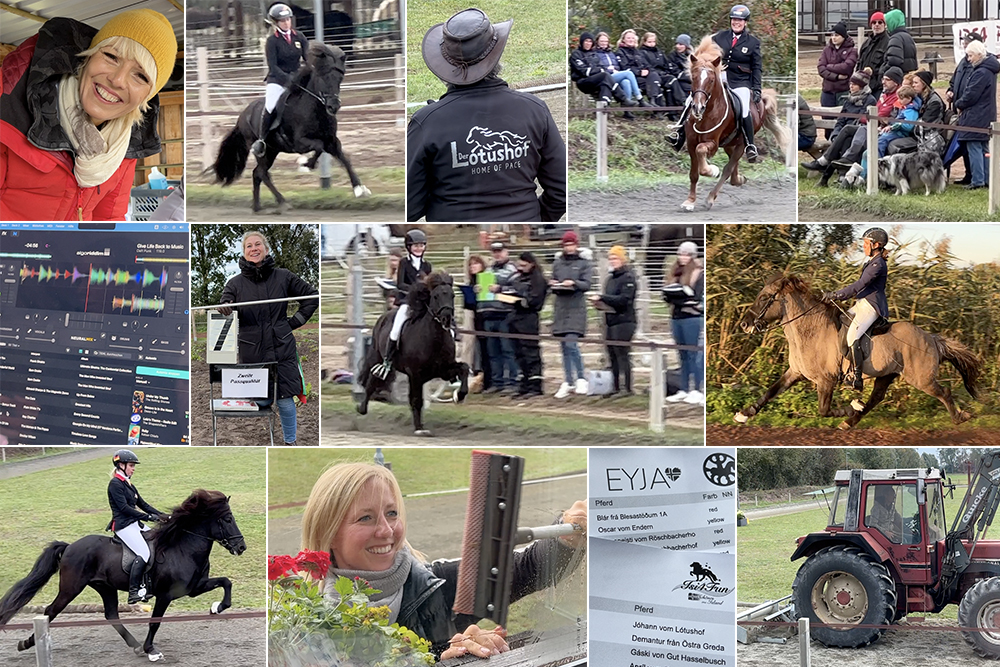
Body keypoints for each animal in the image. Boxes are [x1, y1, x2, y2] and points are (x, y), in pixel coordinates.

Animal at [0, 488, 247, 664]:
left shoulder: (194, 587)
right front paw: (152, 651)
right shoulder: (166, 595)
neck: (182, 547)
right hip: (70, 588)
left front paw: (217, 607)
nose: (241, 547)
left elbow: (226, 582)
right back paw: (26, 643)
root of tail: (70, 546)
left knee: (111, 615)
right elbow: (154, 623)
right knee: (51, 611)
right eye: (227, 520)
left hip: (104, 586)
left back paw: (135, 645)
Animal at [212, 41, 372, 213]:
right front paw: (306, 164)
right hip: (262, 150)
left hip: (273, 150)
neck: (315, 109)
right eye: (323, 77)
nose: (333, 107)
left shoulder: (332, 141)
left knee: (257, 173)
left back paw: (257, 206)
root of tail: (242, 115)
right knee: (262, 173)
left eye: (340, 78)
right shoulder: (300, 143)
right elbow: (319, 146)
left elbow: (345, 159)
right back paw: (282, 202)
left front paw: (359, 189)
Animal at [358, 272, 470, 438]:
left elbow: (464, 368)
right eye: (435, 296)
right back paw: (362, 408)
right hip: (376, 356)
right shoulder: (415, 374)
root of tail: (384, 315)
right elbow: (416, 400)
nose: (447, 319)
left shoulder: (444, 370)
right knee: (372, 379)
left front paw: (459, 395)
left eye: (452, 295)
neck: (434, 339)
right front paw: (419, 428)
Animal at [680, 37, 788, 209]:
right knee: (732, 168)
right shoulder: (691, 143)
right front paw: (690, 201)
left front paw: (712, 171)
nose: (697, 107)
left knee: (728, 168)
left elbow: (702, 153)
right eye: (694, 78)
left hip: (742, 143)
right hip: (730, 143)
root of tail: (760, 102)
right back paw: (739, 179)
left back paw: (711, 197)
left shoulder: (712, 143)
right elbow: (694, 174)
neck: (707, 113)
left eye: (711, 80)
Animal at [740, 276, 980, 428]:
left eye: (764, 298)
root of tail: (931, 338)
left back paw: (960, 417)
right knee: (876, 398)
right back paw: (850, 421)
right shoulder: (795, 373)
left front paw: (849, 408)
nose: (745, 324)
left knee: (944, 392)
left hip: (921, 379)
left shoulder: (826, 380)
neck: (810, 331)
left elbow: (824, 410)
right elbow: (771, 391)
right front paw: (744, 414)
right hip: (887, 374)